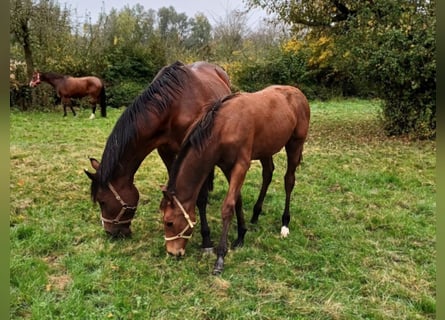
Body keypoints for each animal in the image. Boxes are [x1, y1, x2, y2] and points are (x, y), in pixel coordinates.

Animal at [83, 61, 231, 244]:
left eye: (102, 201)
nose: (110, 232)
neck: (174, 106)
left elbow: (201, 198)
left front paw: (206, 239)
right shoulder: (166, 152)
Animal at [161, 85, 310, 276]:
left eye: (169, 222)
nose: (172, 252)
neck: (224, 126)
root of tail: (298, 92)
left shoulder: (241, 165)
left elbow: (228, 206)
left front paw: (220, 257)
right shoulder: (227, 166)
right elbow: (237, 200)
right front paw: (241, 235)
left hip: (295, 145)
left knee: (289, 181)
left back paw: (285, 224)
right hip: (266, 149)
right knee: (268, 174)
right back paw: (255, 214)